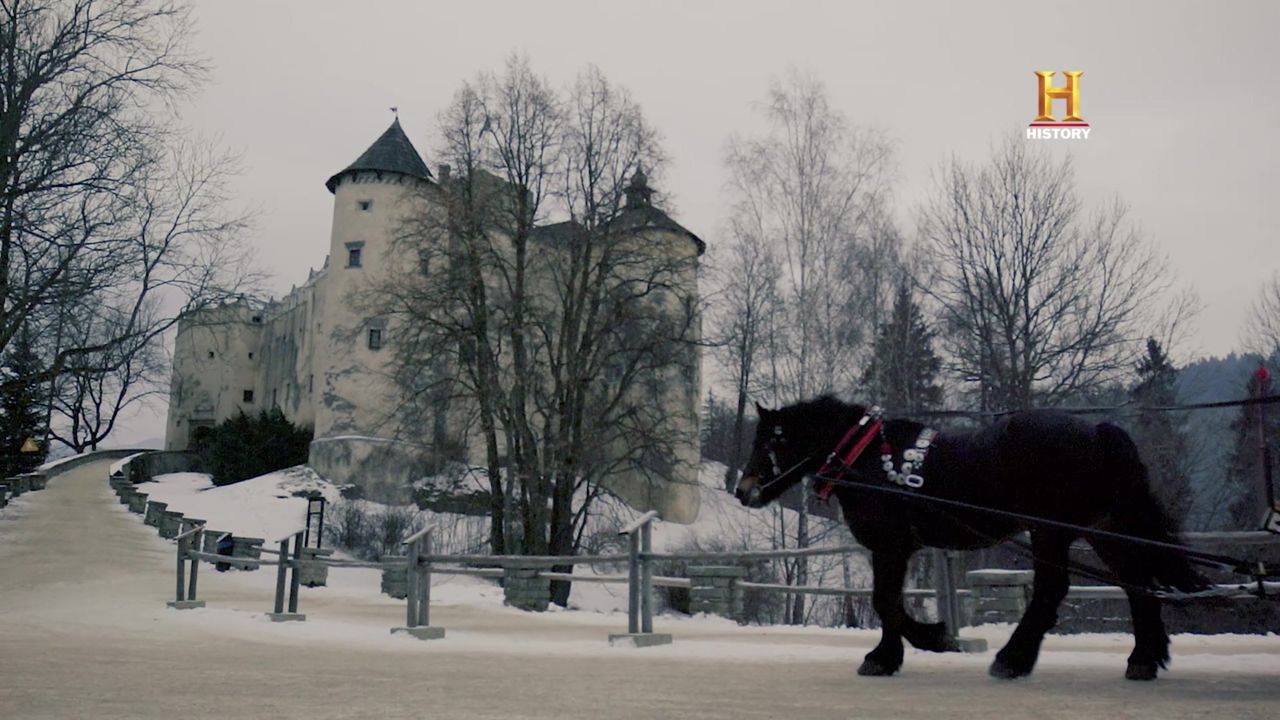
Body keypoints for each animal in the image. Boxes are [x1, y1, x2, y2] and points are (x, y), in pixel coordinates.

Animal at [737, 394, 1203, 681]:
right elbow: (890, 602)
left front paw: (903, 650)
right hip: (1101, 529)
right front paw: (911, 646)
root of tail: (1098, 431)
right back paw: (1144, 658)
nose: (744, 490)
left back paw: (1013, 660)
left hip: (1049, 530)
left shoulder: (890, 546)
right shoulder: (899, 550)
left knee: (1053, 589)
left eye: (767, 441)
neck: (863, 457)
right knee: (1136, 584)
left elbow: (885, 601)